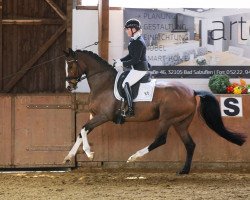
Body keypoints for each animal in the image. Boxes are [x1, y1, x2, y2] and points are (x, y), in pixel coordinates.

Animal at [62, 48, 246, 173]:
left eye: (70, 66)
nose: (69, 87)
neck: (103, 83)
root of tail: (191, 91)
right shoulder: (94, 115)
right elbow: (81, 132)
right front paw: (68, 157)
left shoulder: (103, 116)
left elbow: (83, 129)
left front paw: (89, 154)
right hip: (180, 123)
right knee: (190, 144)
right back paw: (184, 171)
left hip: (166, 119)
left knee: (160, 140)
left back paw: (134, 157)